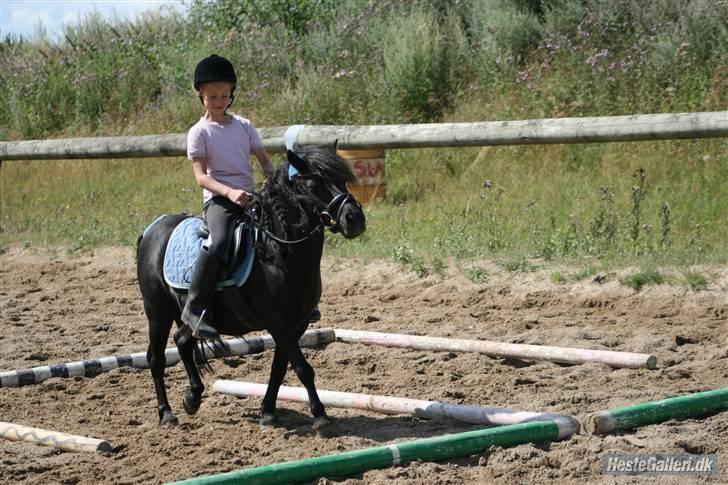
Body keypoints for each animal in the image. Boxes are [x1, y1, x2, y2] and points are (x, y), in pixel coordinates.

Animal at [136, 147, 364, 428]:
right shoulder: (278, 322)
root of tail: (153, 229)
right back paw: (166, 413)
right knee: (156, 359)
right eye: (313, 185)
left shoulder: (297, 324)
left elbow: (280, 368)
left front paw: (268, 413)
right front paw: (320, 416)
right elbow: (302, 367)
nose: (355, 219)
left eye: (343, 180)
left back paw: (192, 398)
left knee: (182, 342)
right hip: (158, 312)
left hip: (195, 317)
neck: (279, 253)